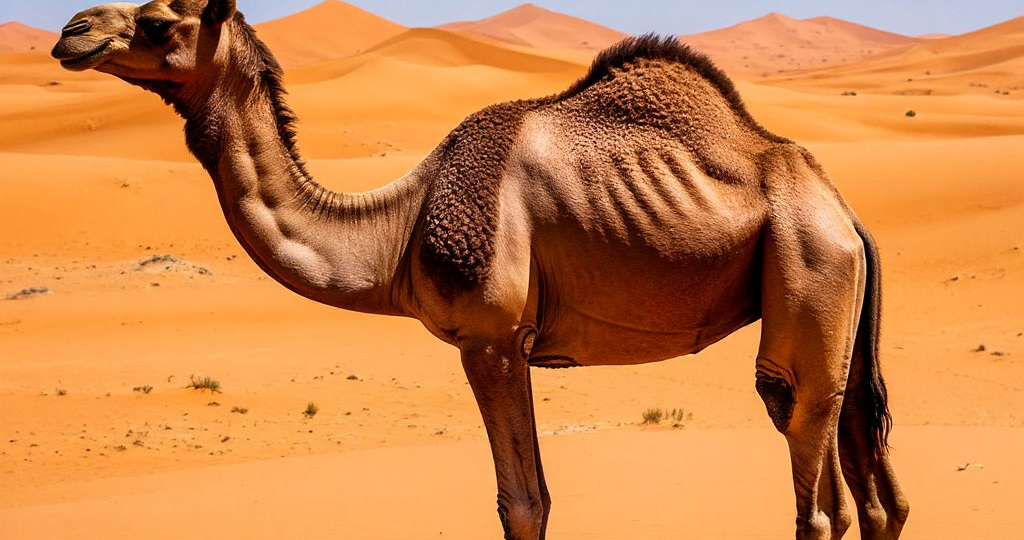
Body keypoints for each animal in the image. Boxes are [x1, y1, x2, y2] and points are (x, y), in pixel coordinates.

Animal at [52, 1, 909, 538]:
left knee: (811, 472)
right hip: (835, 302)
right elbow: (530, 499)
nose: (70, 30)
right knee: (872, 495)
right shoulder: (512, 344)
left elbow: (522, 505)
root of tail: (847, 214)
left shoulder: (490, 337)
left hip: (808, 266)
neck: (398, 228)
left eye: (158, 20)